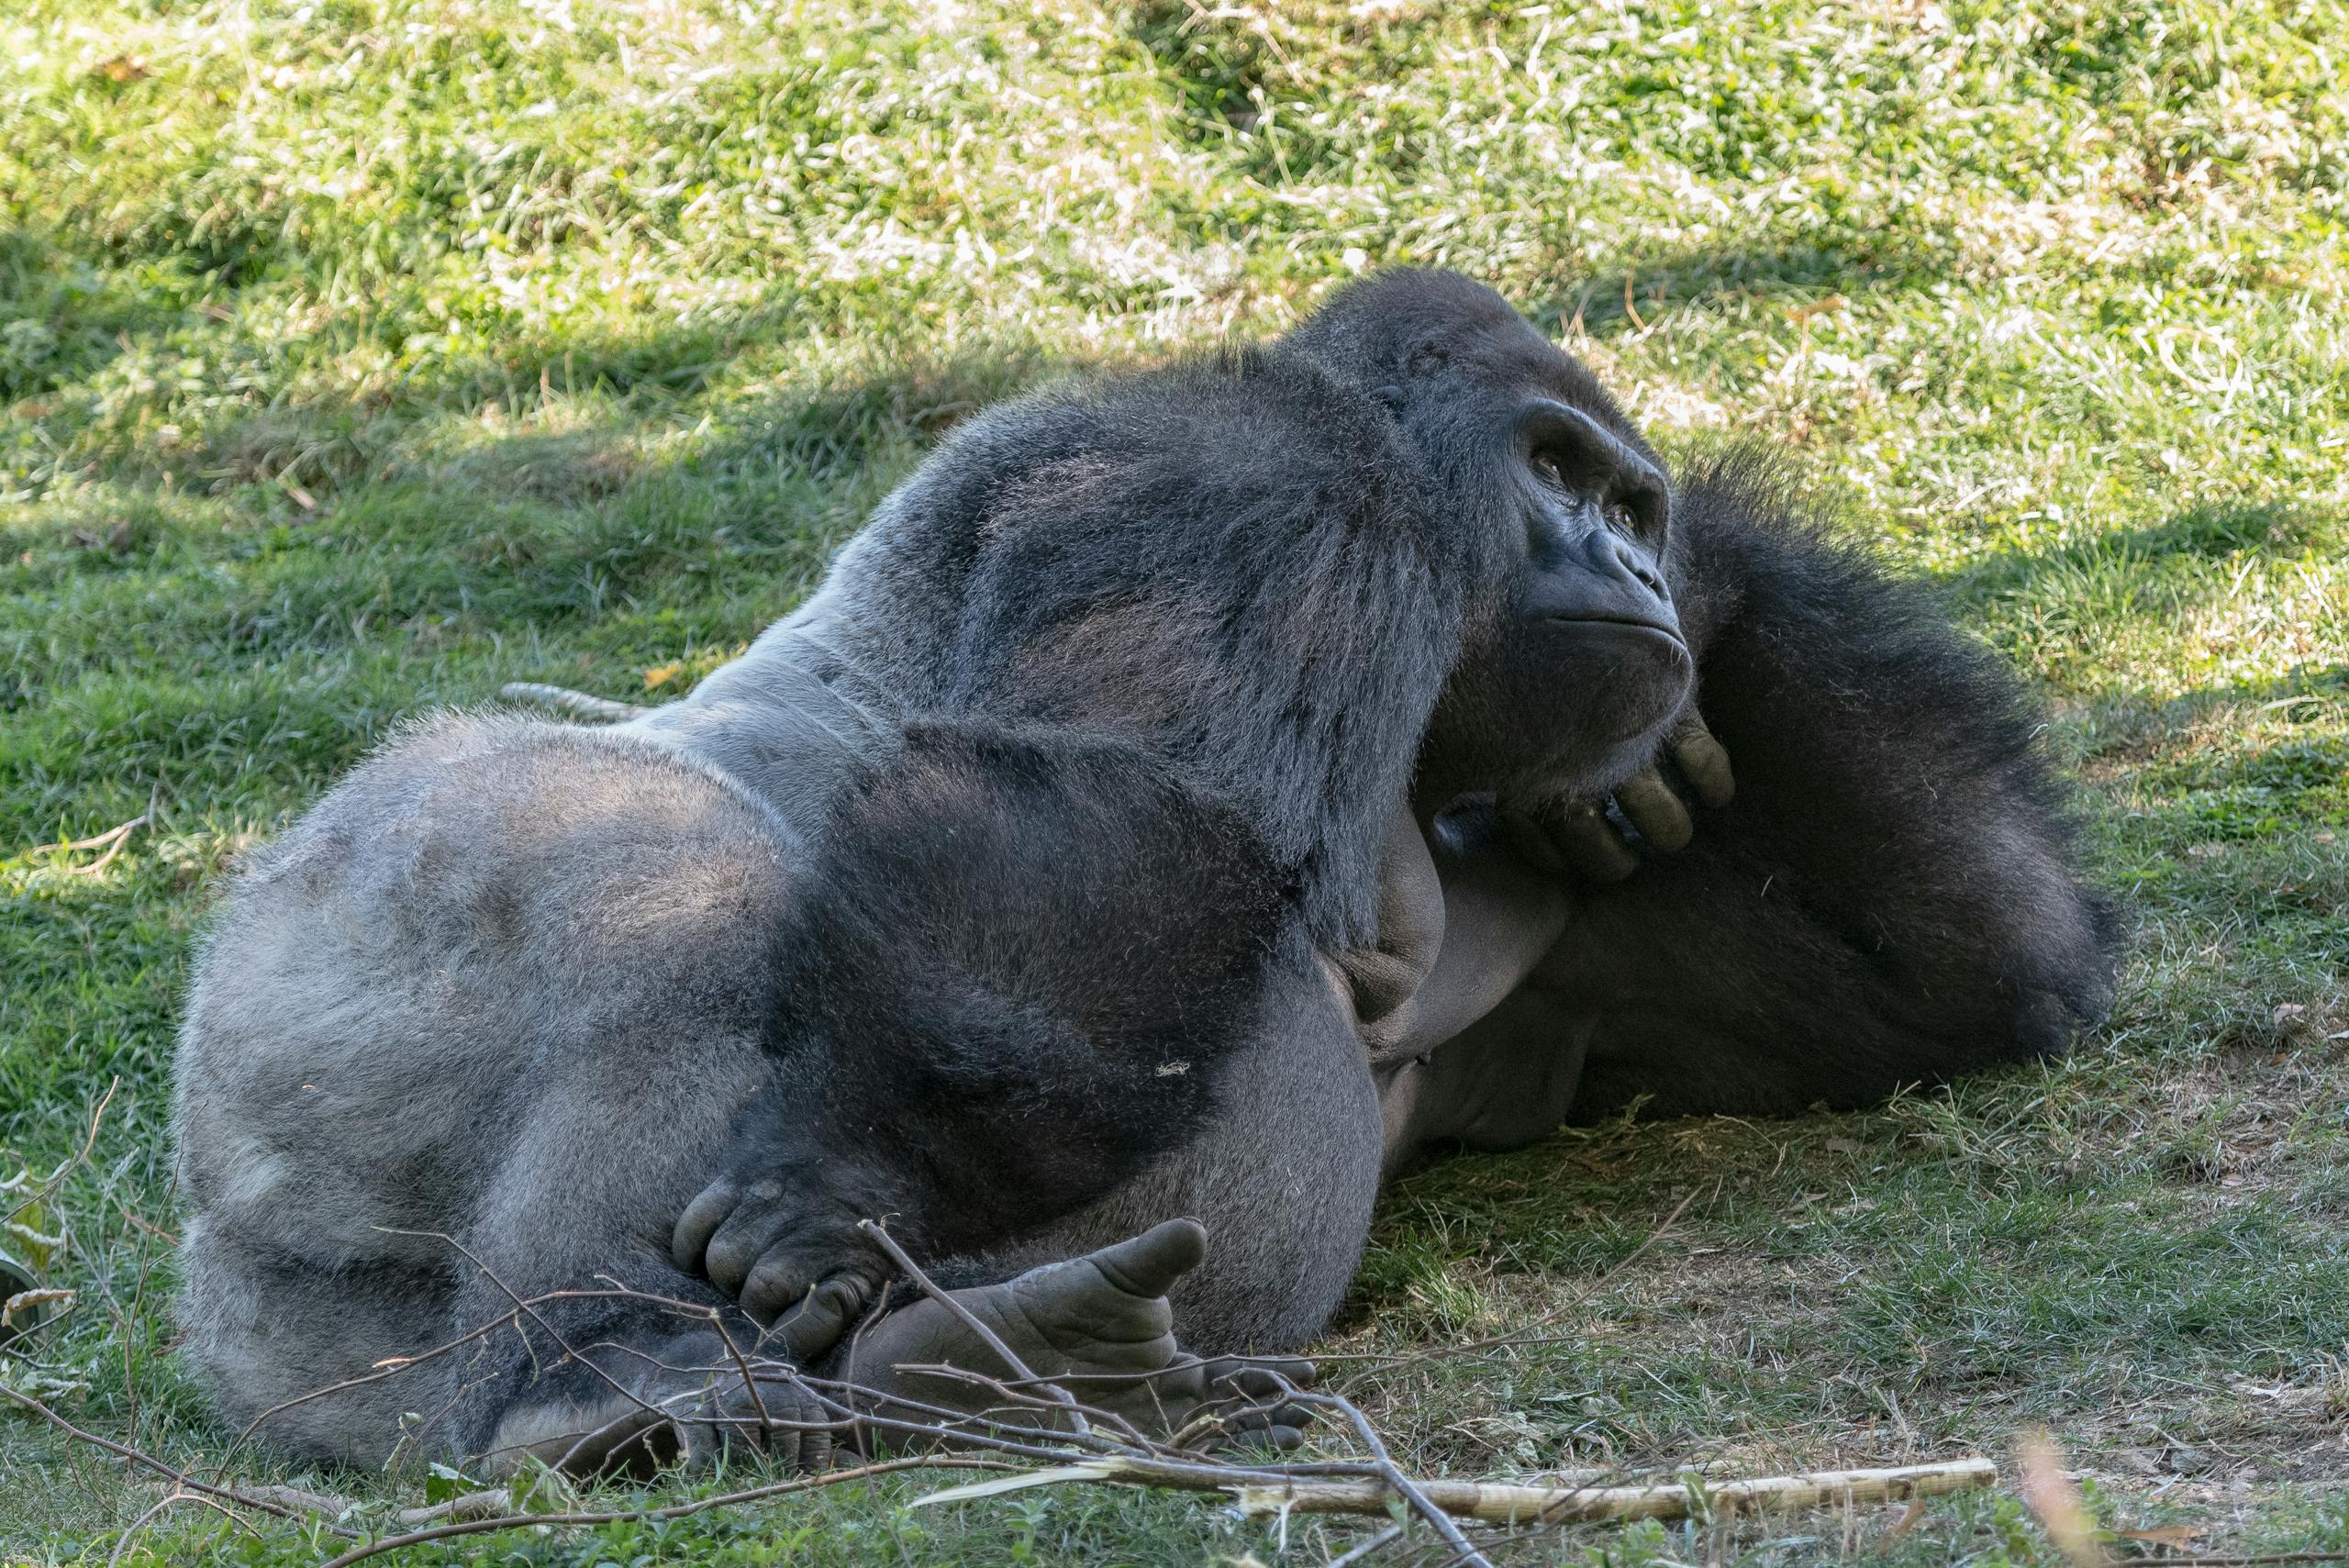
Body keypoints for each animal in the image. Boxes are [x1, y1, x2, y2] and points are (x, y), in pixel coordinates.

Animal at [165, 266, 2114, 1473]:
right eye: (1554, 467)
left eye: (1632, 505)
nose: (1631, 568)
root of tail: (213, 1296)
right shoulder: (1272, 490)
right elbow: (1120, 804)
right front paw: (845, 1183)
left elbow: (1938, 990)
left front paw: (1696, 664)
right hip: (331, 931)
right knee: (680, 889)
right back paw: (598, 1388)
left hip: (328, 1344)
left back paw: (962, 1371)